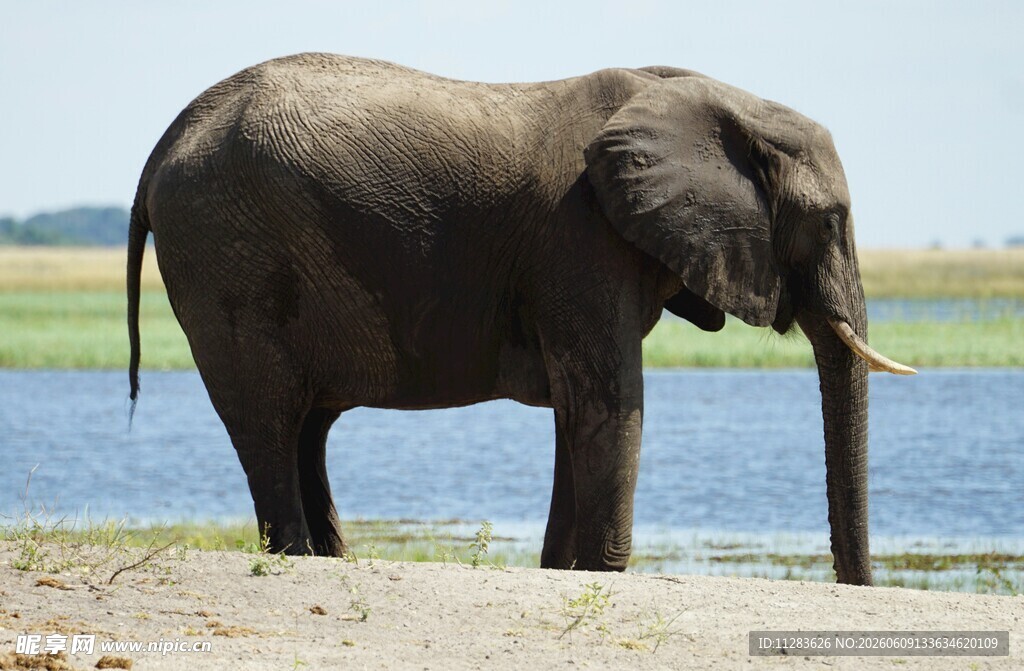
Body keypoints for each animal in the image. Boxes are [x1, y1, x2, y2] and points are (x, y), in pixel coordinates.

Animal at [127, 53, 914, 585]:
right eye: (830, 221)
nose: (855, 587)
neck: (713, 99)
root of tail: (160, 146)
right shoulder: (580, 238)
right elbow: (610, 401)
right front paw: (603, 575)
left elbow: (578, 406)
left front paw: (562, 571)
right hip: (226, 252)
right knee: (267, 417)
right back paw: (297, 553)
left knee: (307, 426)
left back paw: (331, 555)